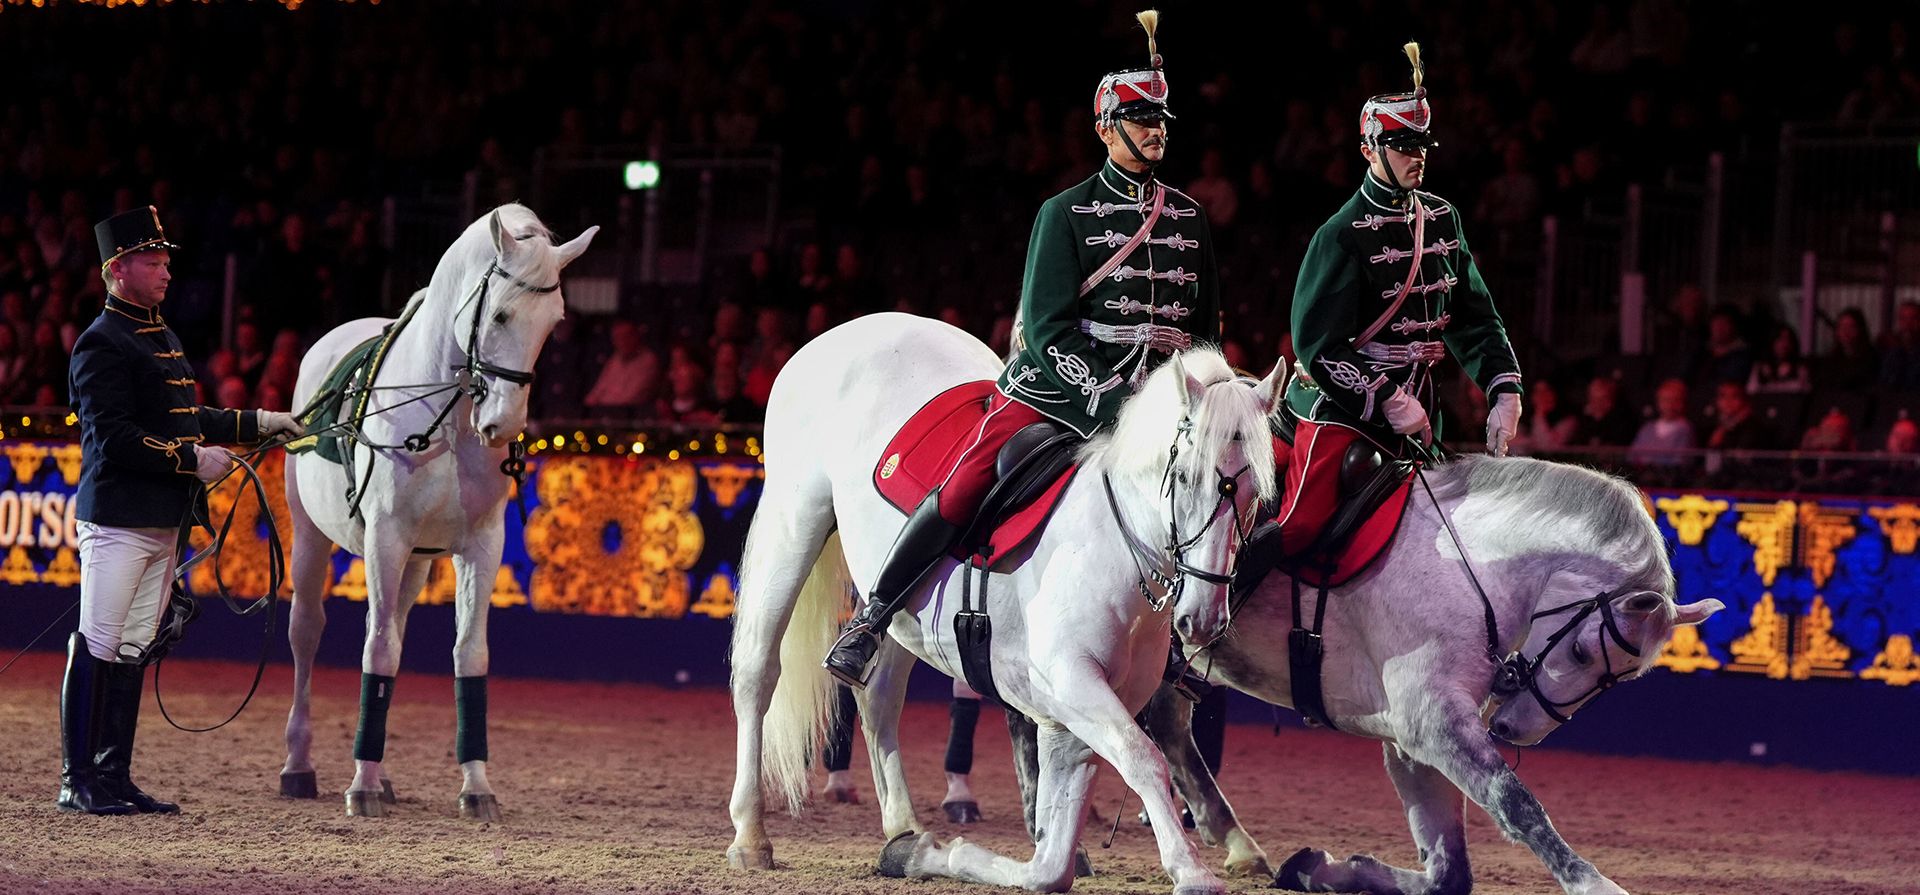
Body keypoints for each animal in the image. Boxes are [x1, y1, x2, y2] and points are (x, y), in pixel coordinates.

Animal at [277, 204, 596, 819]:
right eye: (499, 314)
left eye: (554, 323)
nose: (503, 425)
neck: (444, 418)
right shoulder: (385, 538)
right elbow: (377, 648)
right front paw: (359, 786)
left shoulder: (480, 545)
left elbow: (467, 654)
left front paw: (476, 787)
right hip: (311, 539)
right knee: (308, 630)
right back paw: (300, 766)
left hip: (417, 562)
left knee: (391, 632)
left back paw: (382, 775)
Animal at [727, 312, 1283, 895]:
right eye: (1183, 478)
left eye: (1257, 493)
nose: (1203, 617)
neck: (1116, 546)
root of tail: (861, 325)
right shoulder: (1071, 682)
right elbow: (1142, 759)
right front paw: (1191, 869)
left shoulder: (1073, 714)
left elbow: (1052, 860)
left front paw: (937, 854)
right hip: (794, 523)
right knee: (758, 673)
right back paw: (751, 835)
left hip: (902, 613)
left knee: (878, 698)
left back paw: (903, 831)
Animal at [1008, 453, 1723, 895]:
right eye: (1582, 655)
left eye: (1617, 682)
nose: (1517, 731)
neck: (1467, 566)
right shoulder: (1433, 727)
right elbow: (1516, 805)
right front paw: (1591, 880)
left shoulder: (1418, 740)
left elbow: (1448, 873)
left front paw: (1322, 868)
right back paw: (1055, 836)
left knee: (1167, 726)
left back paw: (1232, 839)